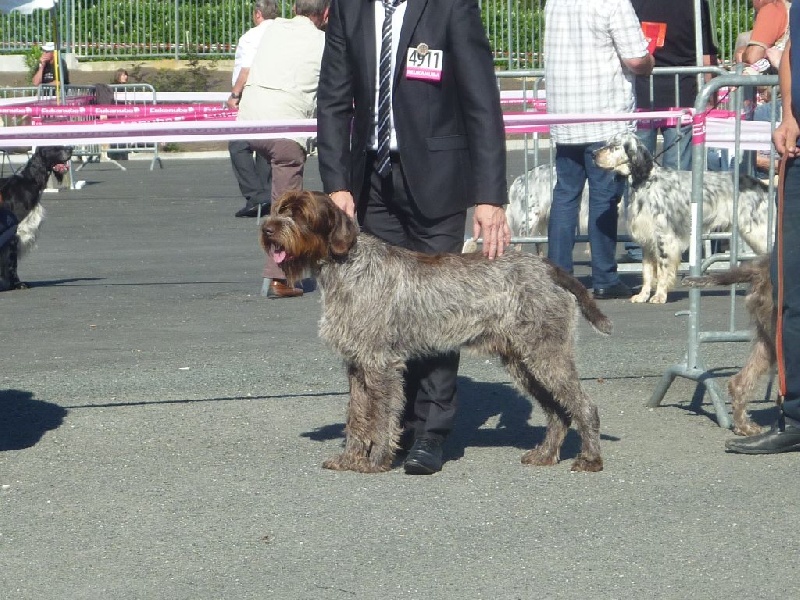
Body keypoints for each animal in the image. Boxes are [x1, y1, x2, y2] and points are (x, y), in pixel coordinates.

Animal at [0, 148, 72, 292]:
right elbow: (12, 262)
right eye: (54, 148)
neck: (28, 182)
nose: (71, 149)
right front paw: (17, 284)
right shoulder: (14, 231)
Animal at [260, 191, 608, 474]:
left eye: (300, 214)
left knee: (584, 406)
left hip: (546, 355)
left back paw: (590, 458)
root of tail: (547, 267)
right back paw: (546, 454)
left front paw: (376, 461)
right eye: (279, 209)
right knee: (558, 413)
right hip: (522, 361)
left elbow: (381, 416)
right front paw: (350, 459)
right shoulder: (356, 365)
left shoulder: (380, 364)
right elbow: (356, 415)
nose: (267, 228)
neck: (345, 266)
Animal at [592, 135, 768, 304]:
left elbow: (662, 270)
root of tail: (760, 184)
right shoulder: (647, 240)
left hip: (759, 232)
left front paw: (659, 296)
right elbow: (647, 272)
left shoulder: (664, 237)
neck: (647, 181)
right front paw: (643, 296)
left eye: (614, 146)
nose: (593, 154)